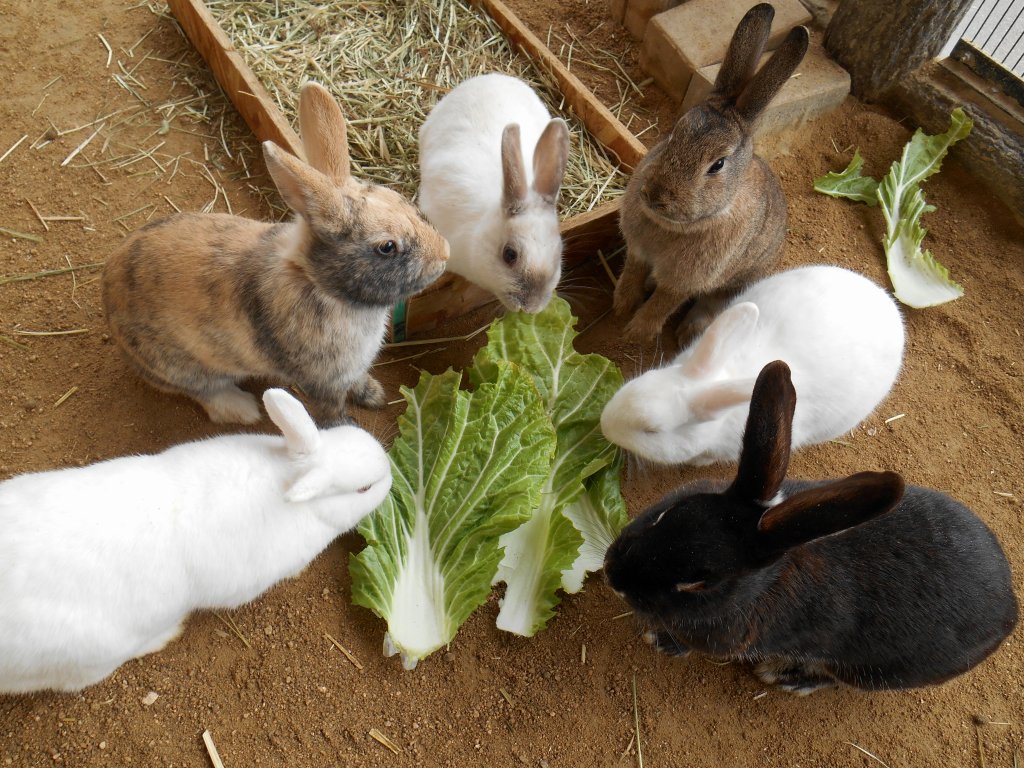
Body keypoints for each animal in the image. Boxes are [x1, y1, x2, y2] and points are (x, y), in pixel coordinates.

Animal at [103, 81, 449, 426]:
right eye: (387, 247)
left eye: (403, 201)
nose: (444, 254)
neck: (318, 283)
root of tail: (107, 296)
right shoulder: (322, 382)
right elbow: (330, 410)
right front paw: (346, 429)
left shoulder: (352, 368)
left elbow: (359, 381)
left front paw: (375, 396)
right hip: (184, 367)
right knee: (204, 393)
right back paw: (245, 410)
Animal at [604, 360, 1018, 694]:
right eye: (668, 514)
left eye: (700, 582)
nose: (612, 573)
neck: (762, 583)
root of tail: (1009, 607)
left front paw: (661, 641)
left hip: (869, 671)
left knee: (832, 678)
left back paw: (786, 678)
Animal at [614, 3, 809, 343]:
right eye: (673, 136)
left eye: (717, 165)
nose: (655, 195)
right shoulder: (637, 252)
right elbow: (632, 274)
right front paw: (620, 306)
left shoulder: (686, 279)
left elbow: (663, 303)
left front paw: (635, 333)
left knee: (716, 305)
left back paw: (690, 333)